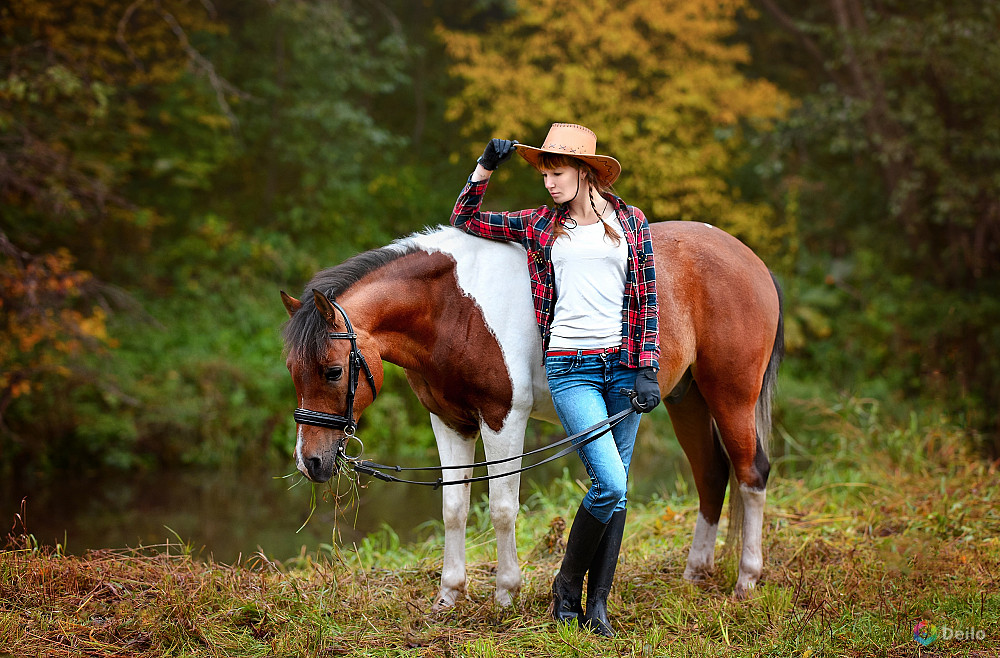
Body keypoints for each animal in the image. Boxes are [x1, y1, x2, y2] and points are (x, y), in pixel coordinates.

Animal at [280, 222, 780, 608]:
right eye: (292, 370)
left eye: (332, 371)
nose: (311, 462)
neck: (453, 308)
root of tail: (750, 260)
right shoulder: (449, 421)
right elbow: (453, 508)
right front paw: (449, 594)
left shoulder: (503, 419)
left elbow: (502, 508)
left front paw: (506, 592)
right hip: (687, 400)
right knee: (712, 475)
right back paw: (696, 571)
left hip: (731, 396)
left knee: (751, 473)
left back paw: (747, 579)